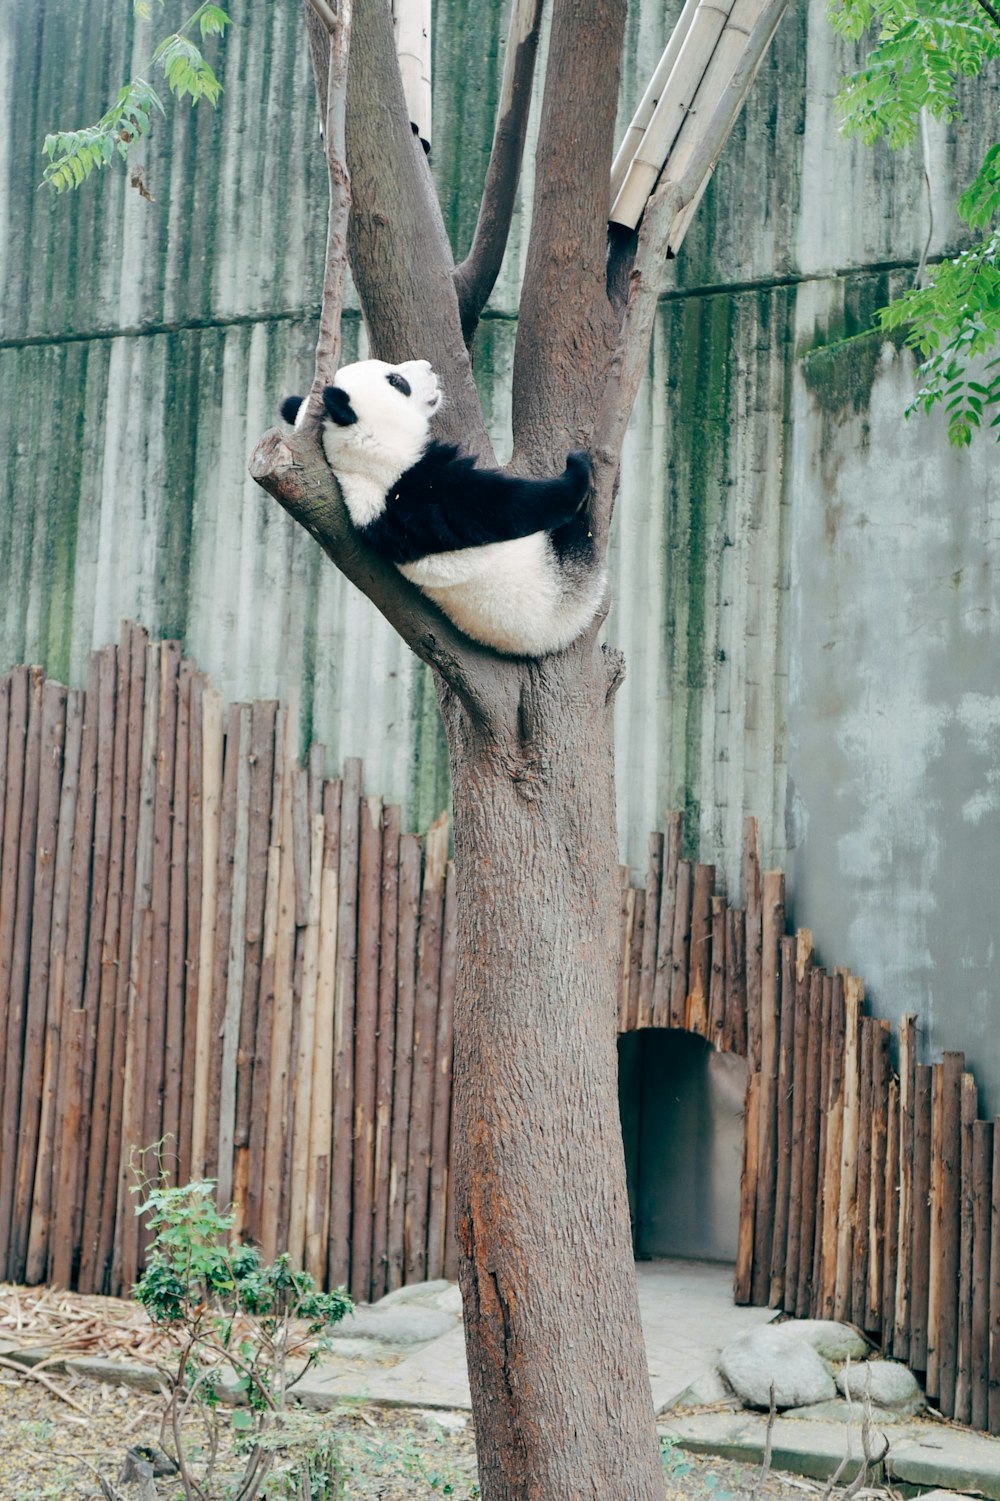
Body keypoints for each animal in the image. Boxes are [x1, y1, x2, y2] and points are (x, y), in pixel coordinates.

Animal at [279, 358, 606, 658]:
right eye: (396, 381)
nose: (428, 366)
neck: (361, 457)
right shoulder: (416, 491)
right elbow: (500, 506)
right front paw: (576, 472)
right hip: (560, 580)